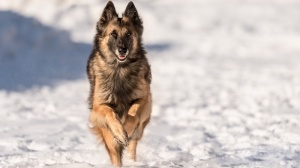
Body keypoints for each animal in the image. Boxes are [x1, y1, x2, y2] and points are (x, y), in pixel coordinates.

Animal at [86, 0, 152, 167]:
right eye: (113, 34)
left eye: (128, 34)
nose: (122, 49)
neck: (119, 70)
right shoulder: (97, 107)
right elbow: (109, 112)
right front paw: (120, 131)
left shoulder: (145, 98)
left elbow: (133, 111)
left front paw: (126, 128)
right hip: (108, 137)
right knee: (115, 154)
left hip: (141, 128)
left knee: (133, 144)